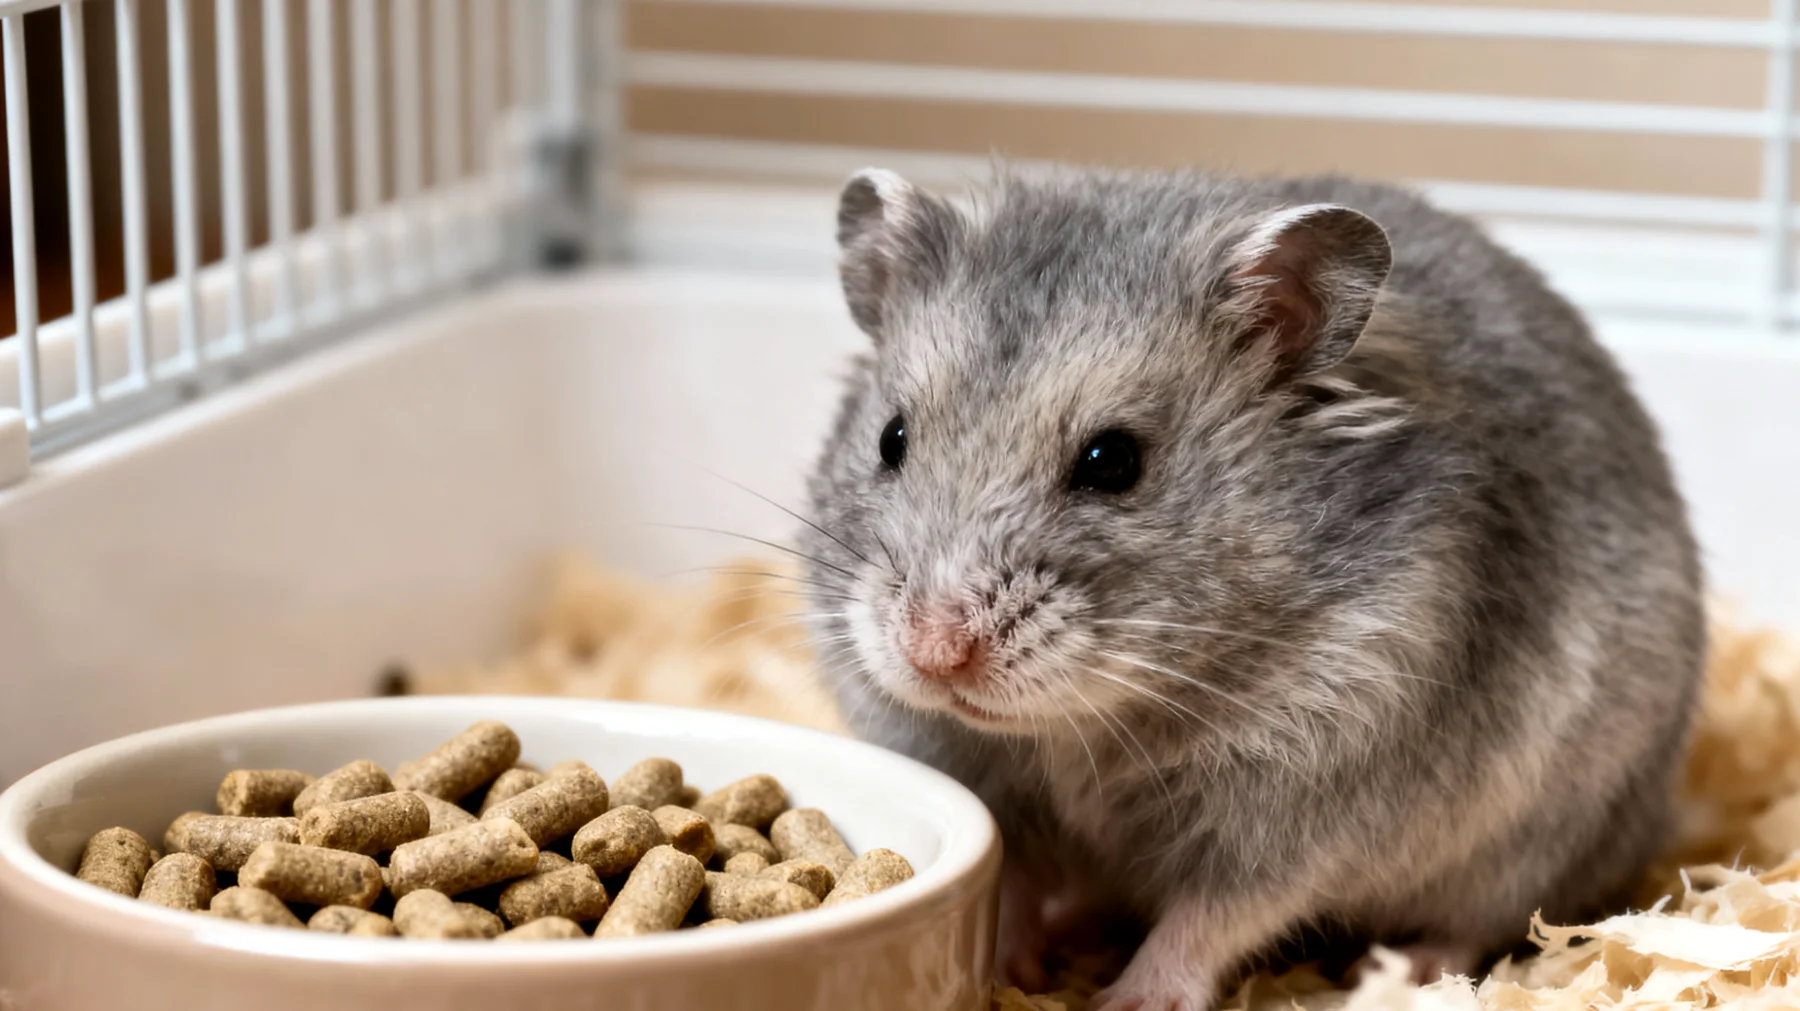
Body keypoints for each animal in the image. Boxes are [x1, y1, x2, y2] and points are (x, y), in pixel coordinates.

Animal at [799, 166, 1704, 1010]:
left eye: (1112, 461)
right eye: (891, 438)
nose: (935, 652)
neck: (1081, 727)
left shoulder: (1305, 803)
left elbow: (1212, 914)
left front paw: (1129, 999)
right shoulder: (976, 775)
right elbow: (1011, 876)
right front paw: (1008, 965)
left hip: (1542, 841)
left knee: (1479, 922)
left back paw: (1405, 972)